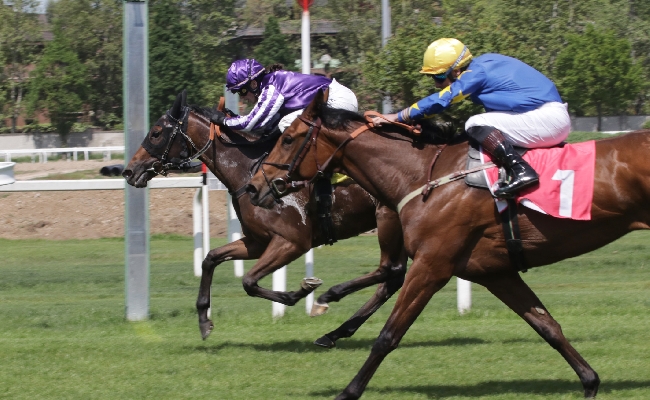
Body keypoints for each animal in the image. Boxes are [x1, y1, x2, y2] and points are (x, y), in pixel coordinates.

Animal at [122, 90, 404, 344]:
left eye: (156, 132)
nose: (128, 171)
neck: (249, 171)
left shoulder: (292, 241)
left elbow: (248, 281)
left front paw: (301, 291)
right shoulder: (258, 242)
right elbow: (211, 259)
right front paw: (204, 320)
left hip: (387, 219)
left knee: (389, 270)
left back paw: (327, 301)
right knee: (393, 279)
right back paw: (335, 332)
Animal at [246, 89, 648, 398]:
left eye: (287, 138)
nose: (253, 186)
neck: (424, 176)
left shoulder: (432, 266)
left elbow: (388, 335)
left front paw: (348, 391)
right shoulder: (495, 273)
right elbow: (547, 326)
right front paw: (590, 381)